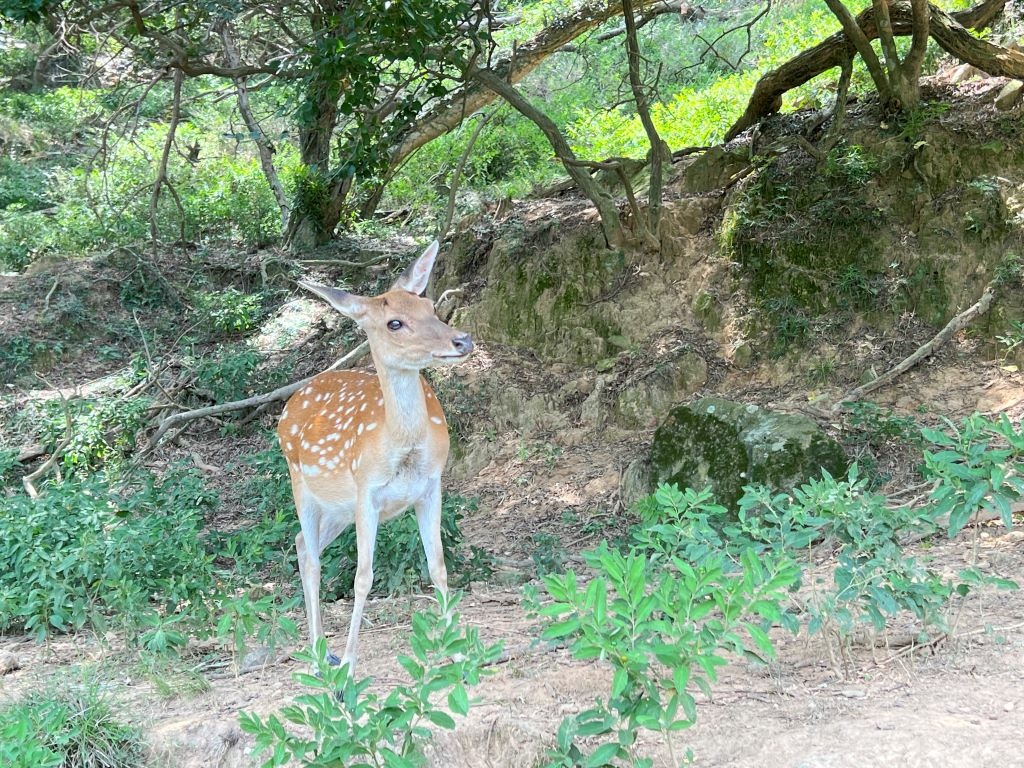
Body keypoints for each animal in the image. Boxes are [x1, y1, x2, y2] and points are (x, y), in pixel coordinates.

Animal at [278, 240, 473, 671]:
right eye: (394, 323)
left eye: (430, 305)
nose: (462, 340)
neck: (400, 449)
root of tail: (290, 404)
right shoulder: (366, 490)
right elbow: (363, 577)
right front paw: (351, 664)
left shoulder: (431, 486)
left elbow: (438, 566)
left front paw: (458, 650)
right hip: (302, 485)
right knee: (311, 557)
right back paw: (321, 657)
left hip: (339, 509)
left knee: (300, 543)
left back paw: (323, 649)